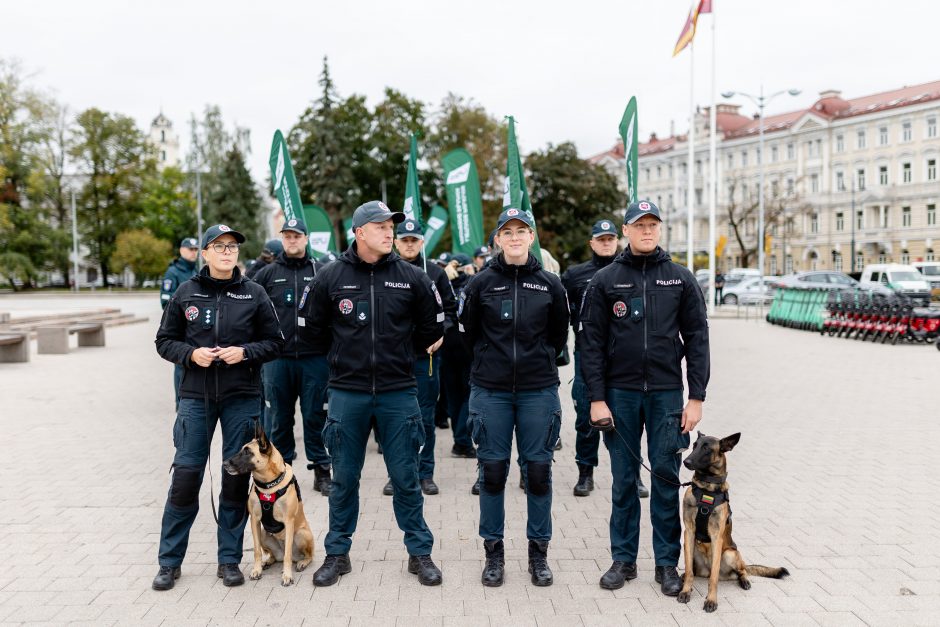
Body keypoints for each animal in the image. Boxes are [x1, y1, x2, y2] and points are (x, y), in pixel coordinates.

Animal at [223, 422, 316, 588]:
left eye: (247, 452)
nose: (225, 464)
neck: (268, 485)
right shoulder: (254, 520)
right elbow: (256, 551)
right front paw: (256, 569)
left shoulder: (289, 522)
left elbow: (287, 555)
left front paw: (287, 576)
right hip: (263, 534)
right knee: (274, 555)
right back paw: (268, 562)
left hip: (301, 534)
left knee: (303, 555)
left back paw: (302, 563)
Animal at [676, 434, 784, 612]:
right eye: (694, 445)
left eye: (706, 448)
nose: (686, 462)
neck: (706, 489)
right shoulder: (689, 533)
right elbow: (690, 569)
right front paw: (685, 591)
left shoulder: (717, 537)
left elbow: (713, 579)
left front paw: (711, 600)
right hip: (692, 549)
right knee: (694, 570)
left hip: (730, 553)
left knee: (741, 571)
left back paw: (745, 581)